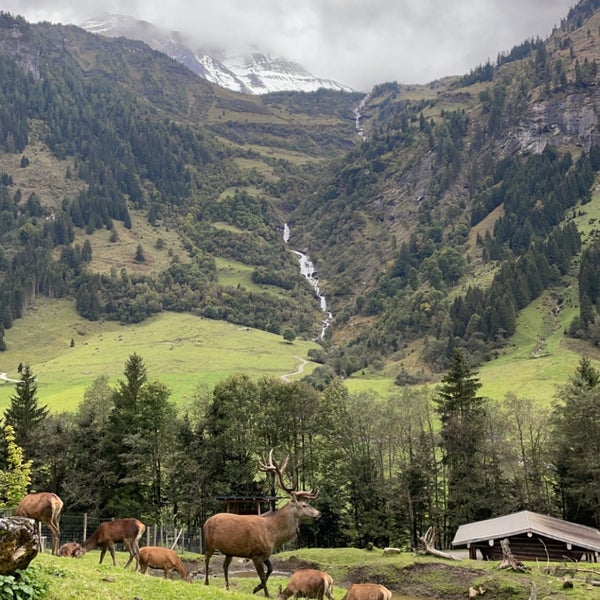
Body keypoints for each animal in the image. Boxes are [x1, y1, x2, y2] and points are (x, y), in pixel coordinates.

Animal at [204, 448, 322, 596]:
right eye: (304, 505)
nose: (319, 513)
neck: (273, 534)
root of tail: (206, 521)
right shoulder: (256, 553)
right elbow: (262, 576)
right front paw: (266, 594)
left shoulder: (266, 554)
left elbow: (270, 570)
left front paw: (256, 588)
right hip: (209, 543)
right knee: (207, 559)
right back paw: (206, 582)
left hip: (229, 551)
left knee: (225, 566)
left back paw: (227, 587)